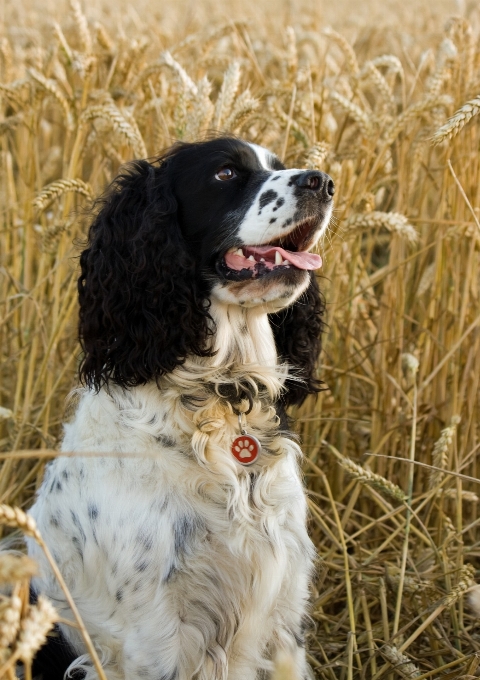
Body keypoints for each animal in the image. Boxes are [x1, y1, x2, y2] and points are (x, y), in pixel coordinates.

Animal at [26, 137, 334, 680]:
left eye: (278, 166)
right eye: (225, 172)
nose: (322, 180)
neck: (220, 396)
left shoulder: (284, 617)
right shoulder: (157, 634)